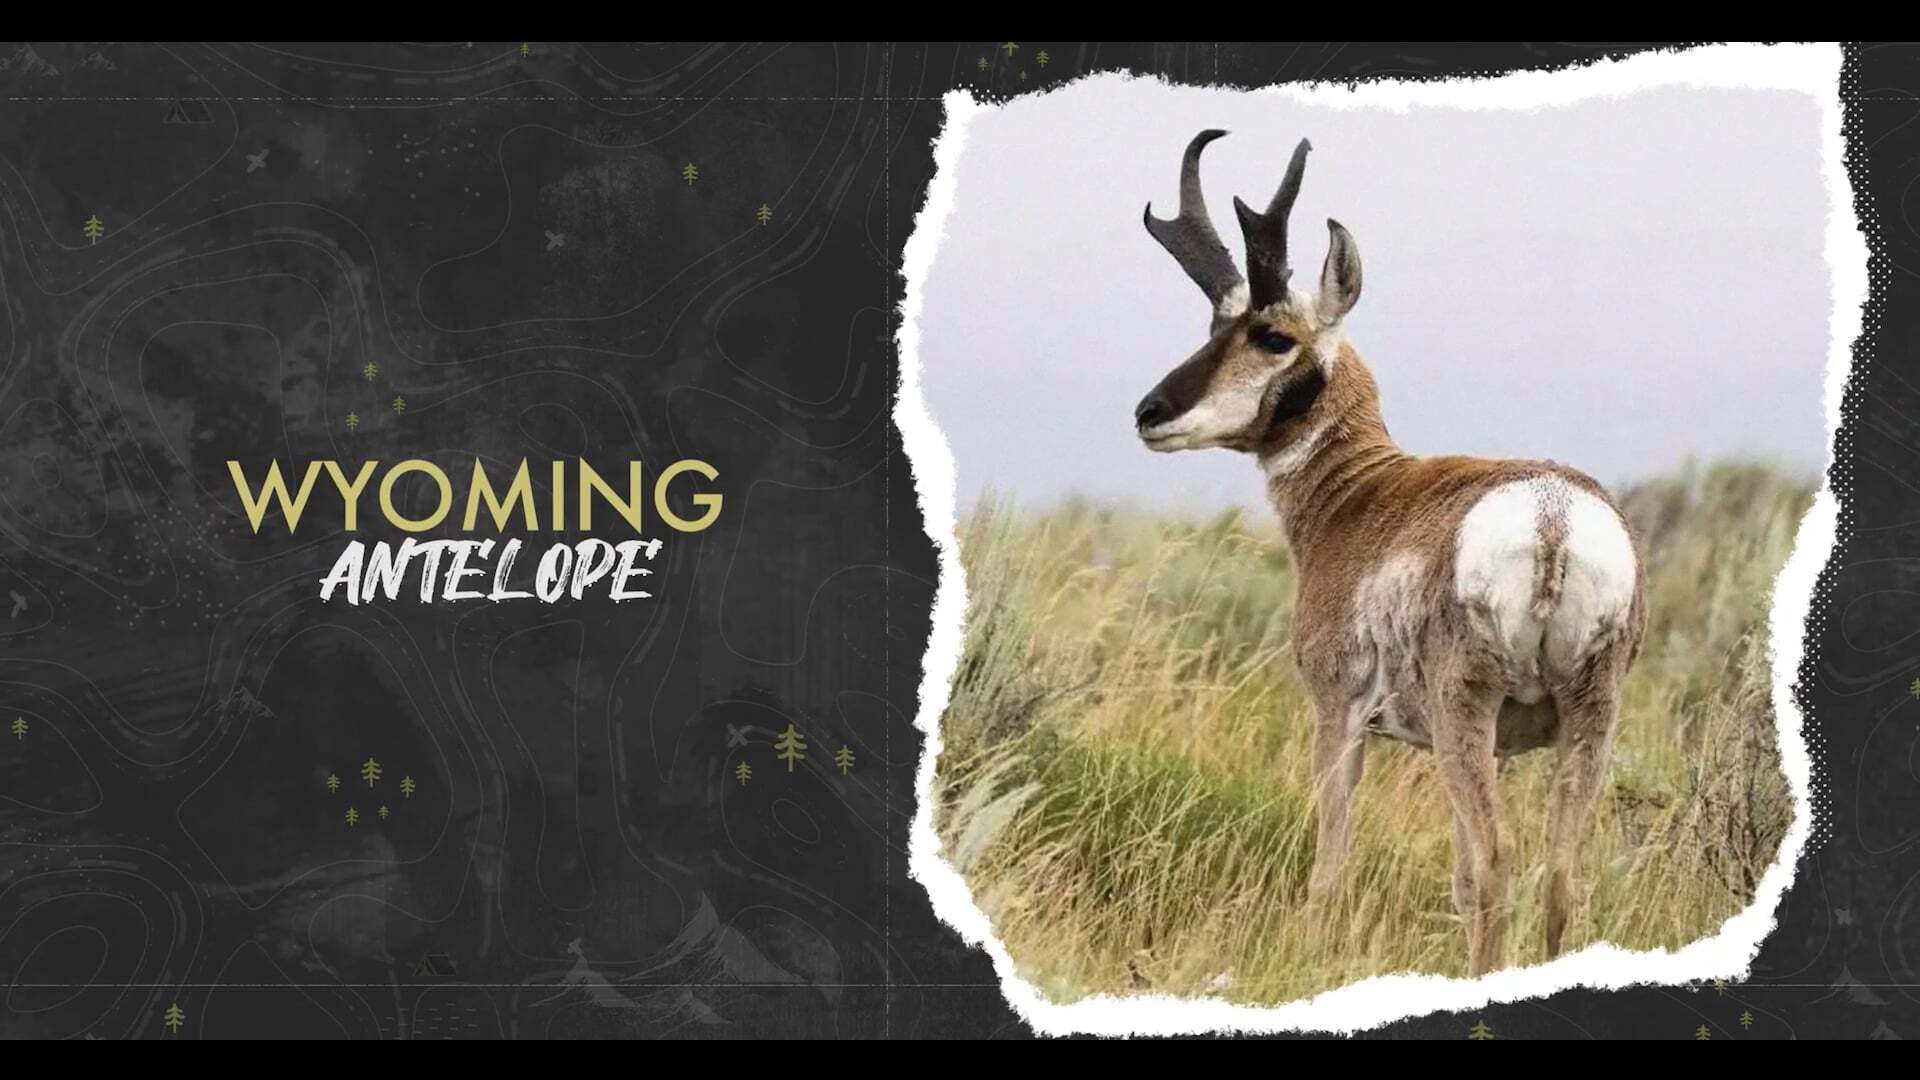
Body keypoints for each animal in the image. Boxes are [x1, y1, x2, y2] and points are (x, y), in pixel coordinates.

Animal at [1134, 131, 1647, 976]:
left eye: (1271, 336)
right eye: (1214, 326)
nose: (1149, 412)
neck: (1363, 493)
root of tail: (1551, 516)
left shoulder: (1337, 714)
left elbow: (1329, 865)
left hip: (1465, 713)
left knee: (1492, 870)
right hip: (1587, 717)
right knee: (1559, 878)